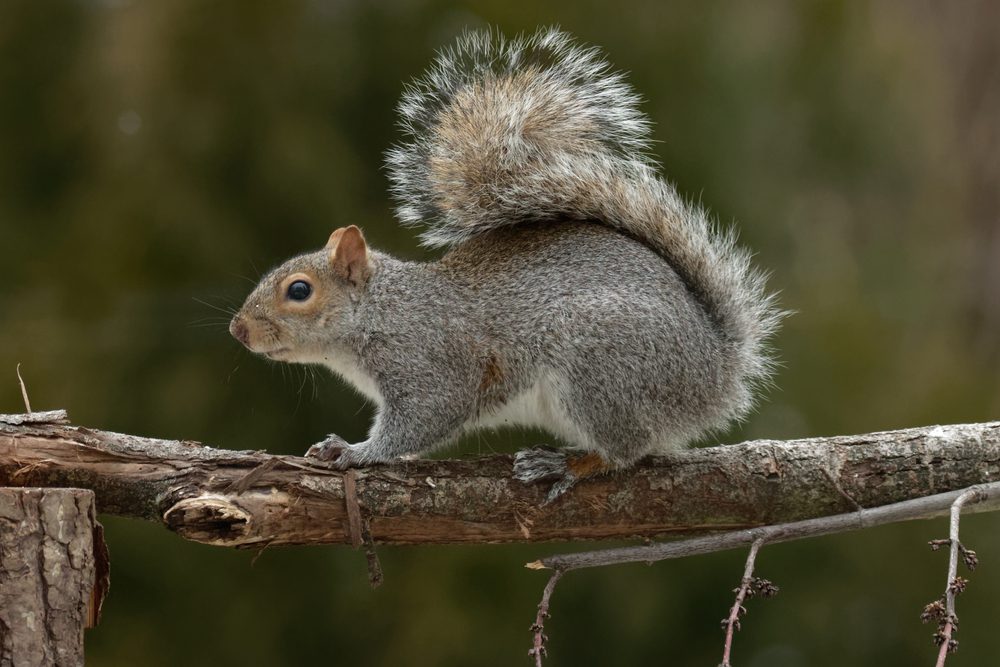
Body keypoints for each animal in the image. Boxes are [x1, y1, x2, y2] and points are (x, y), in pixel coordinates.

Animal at [230, 27, 784, 490]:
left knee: (627, 449)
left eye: (299, 290)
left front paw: (358, 451)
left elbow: (422, 421)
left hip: (600, 363)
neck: (381, 312)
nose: (238, 330)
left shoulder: (431, 363)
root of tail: (716, 373)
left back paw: (568, 464)